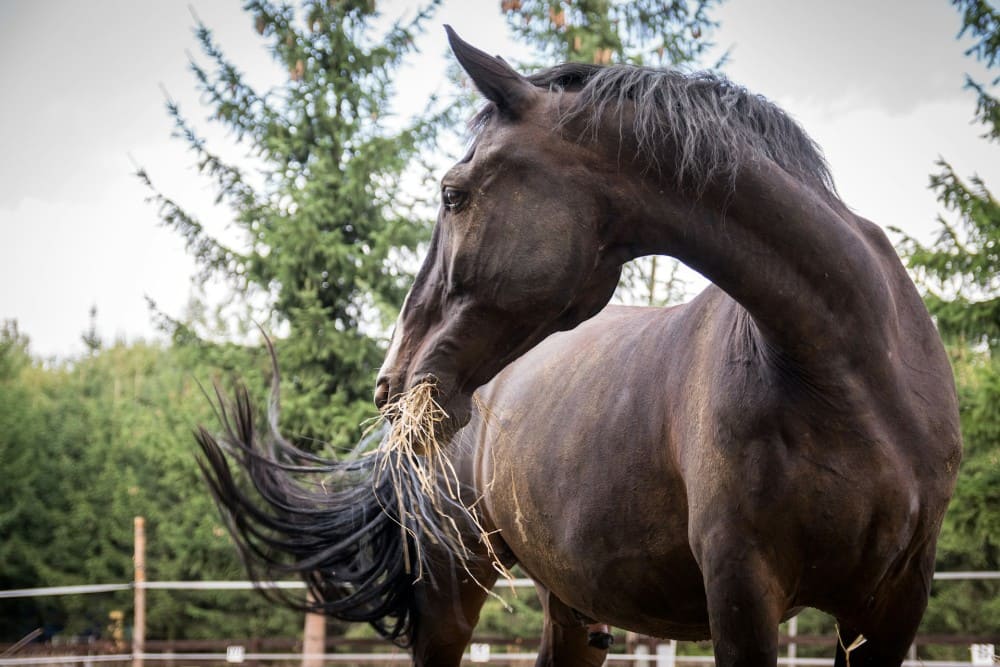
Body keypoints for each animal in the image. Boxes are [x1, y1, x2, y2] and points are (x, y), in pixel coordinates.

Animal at [196, 27, 961, 667]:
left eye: (452, 193)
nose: (391, 384)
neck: (847, 370)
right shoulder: (743, 589)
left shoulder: (894, 605)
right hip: (450, 596)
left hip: (572, 604)